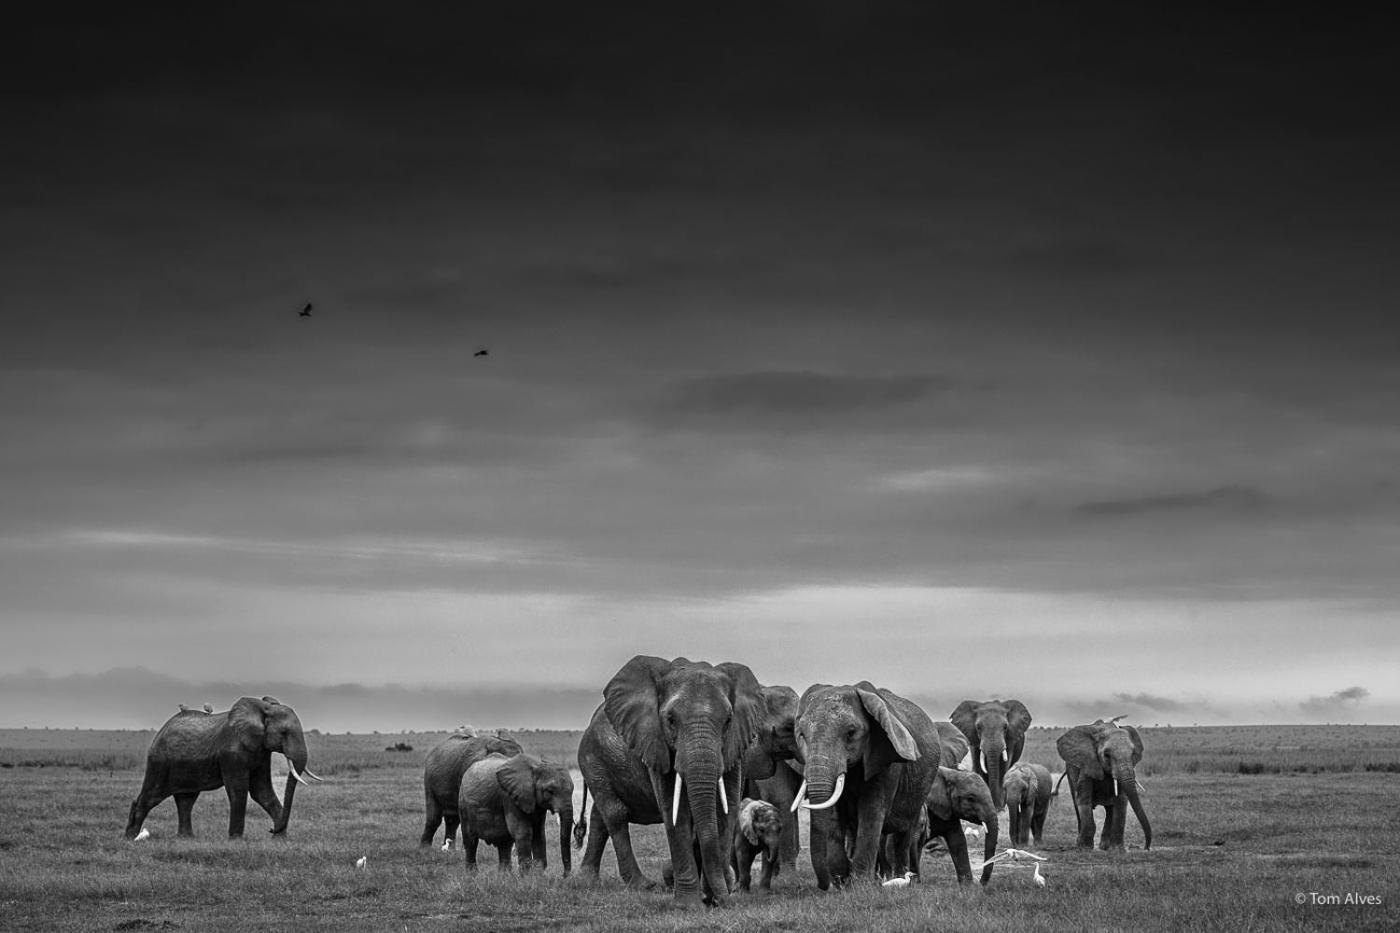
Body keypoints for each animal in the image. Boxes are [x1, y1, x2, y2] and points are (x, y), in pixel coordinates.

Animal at [123, 689, 322, 834]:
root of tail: (160, 731)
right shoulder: (231, 752)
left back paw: (186, 839)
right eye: (284, 733)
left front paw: (280, 840)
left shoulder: (261, 751)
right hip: (159, 761)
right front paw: (236, 840)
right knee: (151, 796)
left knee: (186, 800)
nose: (271, 830)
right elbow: (239, 789)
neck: (263, 708)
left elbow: (261, 791)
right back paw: (130, 837)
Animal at [574, 650, 772, 902]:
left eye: (728, 720)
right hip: (592, 758)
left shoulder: (736, 743)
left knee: (600, 816)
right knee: (614, 813)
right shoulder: (654, 740)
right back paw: (643, 886)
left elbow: (728, 808)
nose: (720, 898)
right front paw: (691, 901)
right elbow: (674, 809)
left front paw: (717, 895)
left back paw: (586, 880)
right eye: (670, 720)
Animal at [800, 675, 940, 885]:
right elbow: (833, 812)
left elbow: (871, 810)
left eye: (851, 733)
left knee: (904, 833)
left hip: (922, 787)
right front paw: (843, 881)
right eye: (801, 735)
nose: (823, 885)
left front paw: (859, 885)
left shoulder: (886, 757)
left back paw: (902, 878)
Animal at [1052, 711, 1153, 851]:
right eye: (1107, 755)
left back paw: (1105, 846)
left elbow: (1121, 800)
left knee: (1110, 809)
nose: (1146, 847)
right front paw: (1084, 848)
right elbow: (1084, 799)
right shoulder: (1087, 762)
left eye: (1133, 754)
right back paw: (1081, 843)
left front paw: (1118, 850)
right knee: (1077, 804)